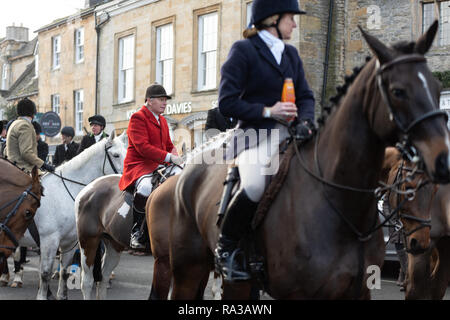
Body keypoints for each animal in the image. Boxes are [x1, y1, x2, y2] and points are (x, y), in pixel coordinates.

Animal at [16, 131, 127, 300]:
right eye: (116, 155)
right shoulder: (49, 240)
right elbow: (45, 273)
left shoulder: (69, 241)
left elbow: (64, 271)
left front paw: (61, 295)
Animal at [167, 22, 450, 300]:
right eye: (398, 91)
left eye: (437, 89)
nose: (443, 160)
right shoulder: (298, 293)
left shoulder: (359, 291)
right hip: (187, 269)